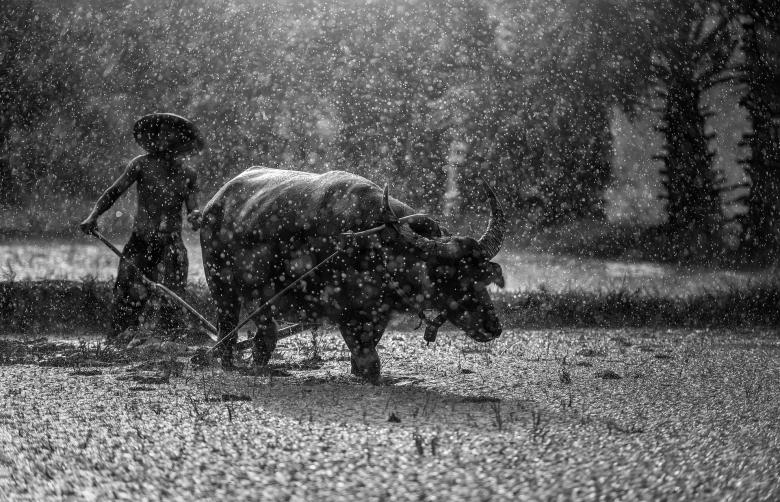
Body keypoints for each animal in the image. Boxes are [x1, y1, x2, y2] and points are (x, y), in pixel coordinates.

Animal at [200, 167, 506, 380]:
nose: (493, 326)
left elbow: (367, 350)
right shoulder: (346, 313)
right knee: (228, 329)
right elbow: (369, 361)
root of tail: (214, 202)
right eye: (450, 276)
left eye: (481, 276)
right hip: (221, 286)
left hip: (262, 295)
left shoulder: (378, 314)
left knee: (265, 333)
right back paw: (229, 364)